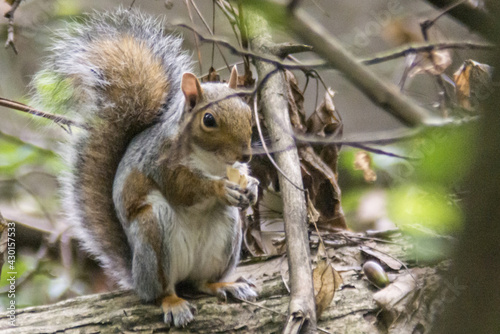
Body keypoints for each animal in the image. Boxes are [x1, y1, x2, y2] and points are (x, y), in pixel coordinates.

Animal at [32, 7, 258, 326]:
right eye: (209, 120)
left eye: (247, 110)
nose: (246, 154)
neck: (211, 159)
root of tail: (137, 276)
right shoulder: (160, 162)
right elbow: (182, 187)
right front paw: (219, 188)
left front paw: (250, 186)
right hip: (152, 233)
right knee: (162, 290)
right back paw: (173, 303)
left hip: (226, 235)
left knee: (201, 282)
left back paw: (224, 285)